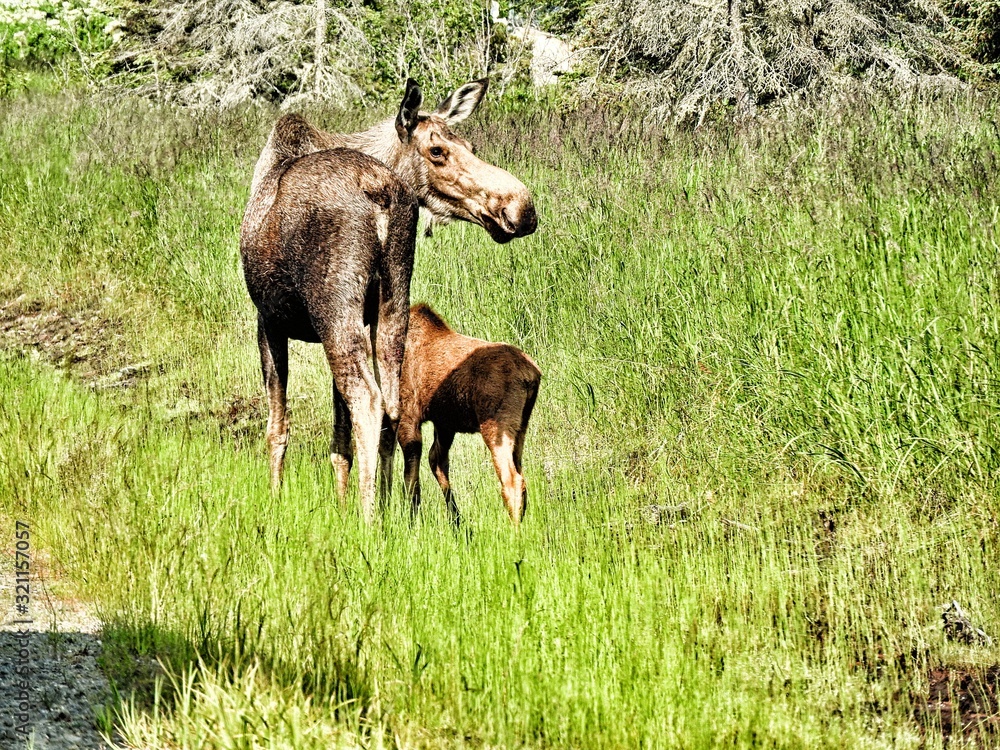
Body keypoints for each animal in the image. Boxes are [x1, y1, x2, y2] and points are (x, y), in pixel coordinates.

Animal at [380, 302, 540, 524]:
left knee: (511, 478)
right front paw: (456, 521)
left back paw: (514, 529)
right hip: (521, 425)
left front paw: (411, 522)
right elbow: (436, 461)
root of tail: (531, 375)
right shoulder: (444, 423)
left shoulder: (408, 415)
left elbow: (411, 476)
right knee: (520, 472)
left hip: (496, 423)